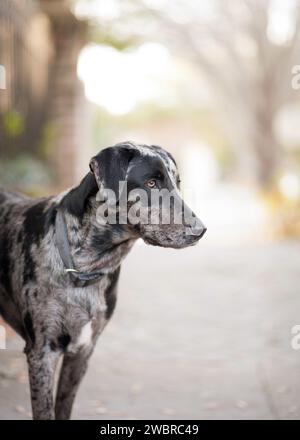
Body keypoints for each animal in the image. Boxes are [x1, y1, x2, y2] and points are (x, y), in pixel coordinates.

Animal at [0, 141, 206, 420]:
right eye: (151, 183)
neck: (85, 265)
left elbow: (63, 406)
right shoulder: (42, 353)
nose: (201, 230)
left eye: (177, 182)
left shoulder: (82, 351)